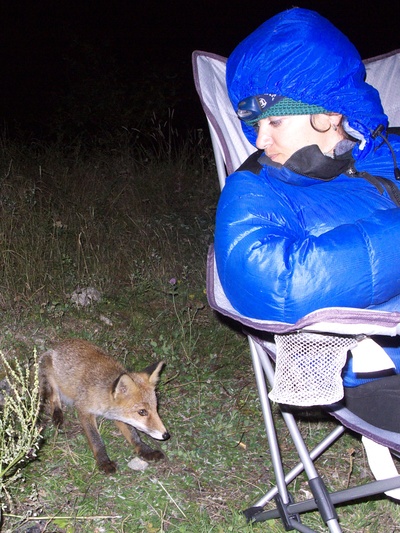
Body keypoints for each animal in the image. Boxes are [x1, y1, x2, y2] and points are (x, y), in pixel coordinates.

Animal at [37, 338, 169, 472]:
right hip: (50, 376)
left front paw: (145, 450)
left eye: (156, 408)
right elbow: (96, 440)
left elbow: (133, 435)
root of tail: (59, 345)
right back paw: (57, 414)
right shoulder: (84, 409)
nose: (166, 435)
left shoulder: (117, 415)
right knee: (54, 397)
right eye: (142, 412)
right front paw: (104, 461)